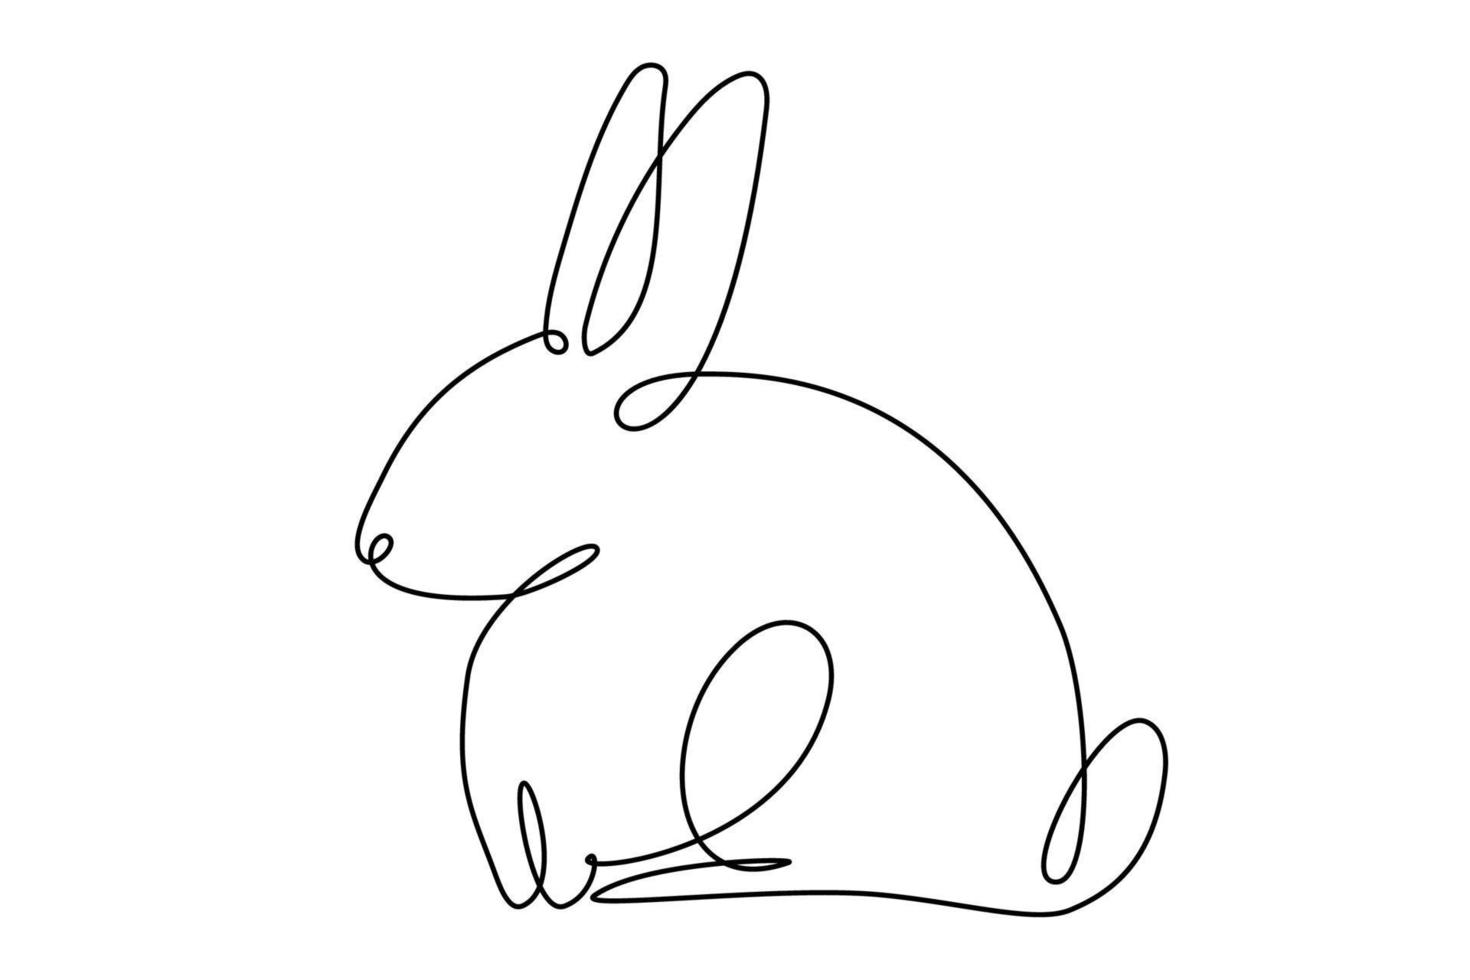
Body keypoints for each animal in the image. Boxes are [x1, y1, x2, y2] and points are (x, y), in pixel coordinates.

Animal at [354, 63, 1167, 915]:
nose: (372, 545)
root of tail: (1029, 874)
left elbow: (567, 858)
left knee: (807, 862)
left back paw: (666, 885)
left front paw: (573, 892)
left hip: (788, 685)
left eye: (498, 453)